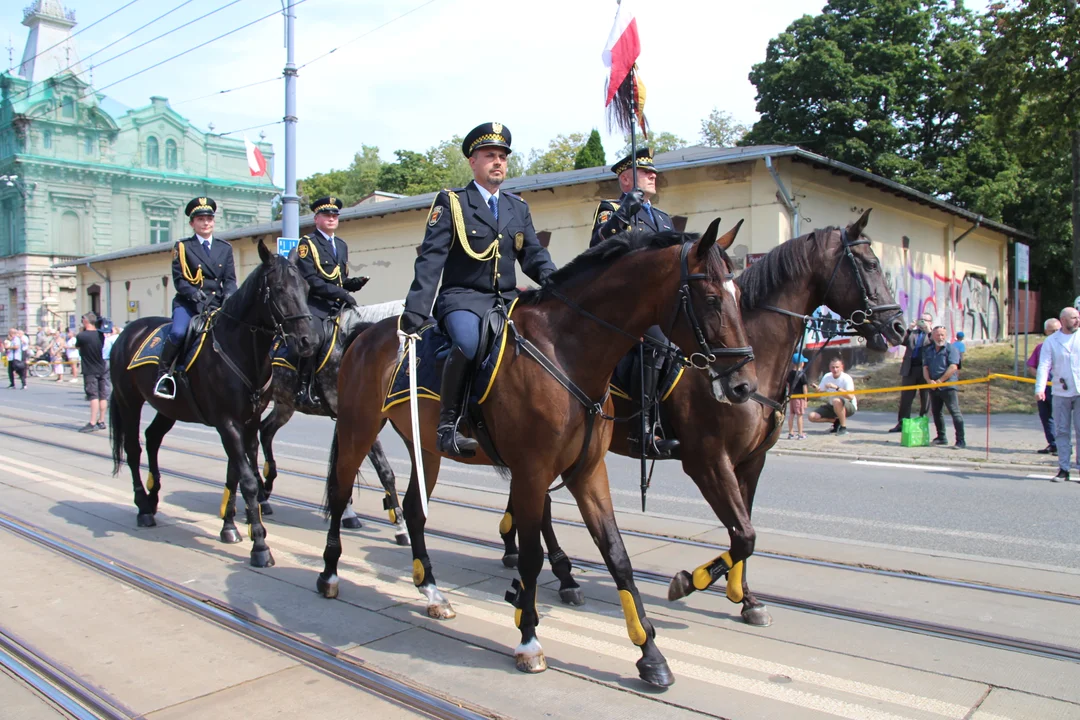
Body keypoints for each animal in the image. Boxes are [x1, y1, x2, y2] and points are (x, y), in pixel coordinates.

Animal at [110, 241, 315, 569]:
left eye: (307, 288)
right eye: (279, 288)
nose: (308, 340)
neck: (242, 350)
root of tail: (127, 332)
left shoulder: (248, 423)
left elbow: (236, 473)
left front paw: (230, 527)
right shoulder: (227, 422)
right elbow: (248, 480)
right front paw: (260, 545)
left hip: (169, 408)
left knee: (152, 438)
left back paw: (153, 499)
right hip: (128, 402)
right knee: (133, 449)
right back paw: (142, 506)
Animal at [321, 220, 760, 686]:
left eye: (738, 296)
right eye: (711, 299)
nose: (743, 386)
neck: (565, 351)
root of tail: (366, 333)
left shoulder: (588, 473)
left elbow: (618, 556)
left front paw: (651, 654)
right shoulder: (532, 472)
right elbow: (531, 558)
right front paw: (528, 638)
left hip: (425, 448)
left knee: (414, 510)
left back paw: (433, 592)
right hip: (357, 431)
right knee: (340, 494)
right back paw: (329, 574)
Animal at [501, 208, 907, 626]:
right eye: (871, 265)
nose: (898, 326)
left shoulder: (751, 462)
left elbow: (744, 530)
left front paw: (746, 598)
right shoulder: (708, 460)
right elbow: (744, 535)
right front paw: (690, 581)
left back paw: (516, 548)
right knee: (542, 505)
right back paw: (562, 574)